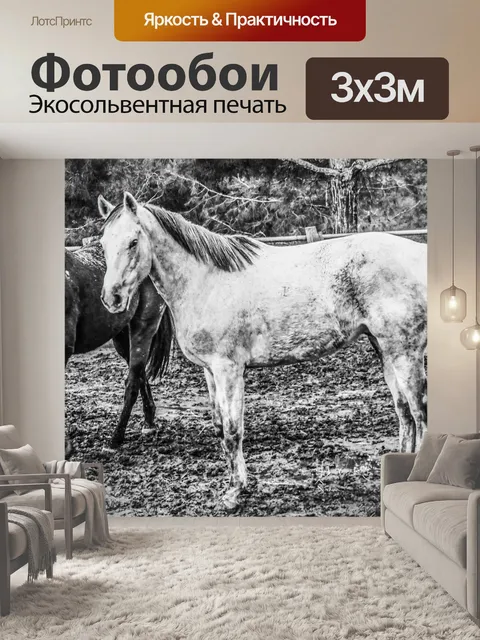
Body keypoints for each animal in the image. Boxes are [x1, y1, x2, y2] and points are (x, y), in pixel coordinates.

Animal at [65, 196, 174, 453]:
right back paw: (149, 422)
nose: (109, 296)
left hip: (144, 326)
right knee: (140, 372)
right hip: (122, 336)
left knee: (133, 379)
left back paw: (116, 438)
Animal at [99, 192, 427, 510]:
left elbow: (233, 431)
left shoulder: (229, 370)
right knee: (404, 415)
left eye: (133, 242)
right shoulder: (210, 372)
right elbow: (221, 428)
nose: (111, 298)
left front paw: (233, 494)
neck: (206, 282)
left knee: (419, 415)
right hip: (385, 351)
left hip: (405, 353)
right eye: (103, 242)